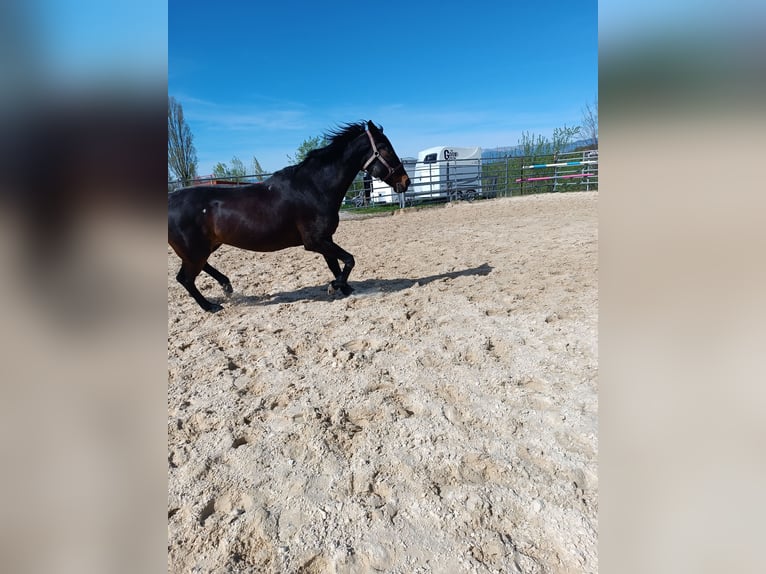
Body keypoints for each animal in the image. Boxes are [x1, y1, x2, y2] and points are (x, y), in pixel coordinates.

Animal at [166, 120, 412, 316]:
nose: (406, 181)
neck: (315, 187)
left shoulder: (326, 239)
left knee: (196, 271)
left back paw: (226, 286)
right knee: (185, 279)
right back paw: (211, 306)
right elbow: (349, 260)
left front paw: (345, 289)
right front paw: (334, 286)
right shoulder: (315, 242)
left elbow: (336, 264)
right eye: (385, 149)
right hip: (195, 250)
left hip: (206, 247)